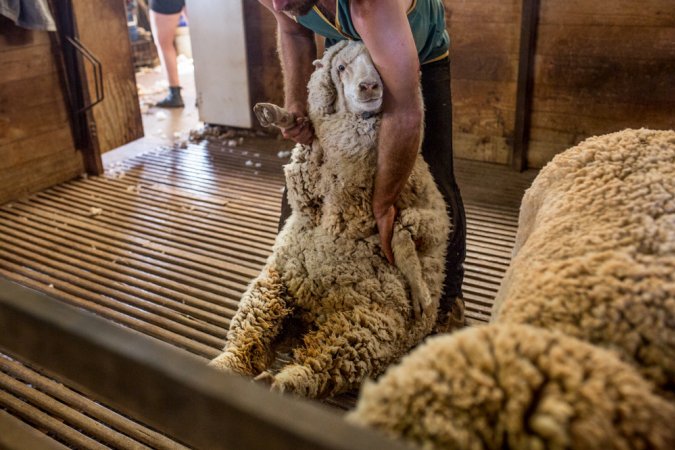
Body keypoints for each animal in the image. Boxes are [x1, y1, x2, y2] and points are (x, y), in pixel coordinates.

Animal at [209, 39, 452, 398]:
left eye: (380, 64)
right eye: (340, 67)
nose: (370, 86)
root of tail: (314, 312)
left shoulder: (425, 209)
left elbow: (403, 231)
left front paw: (420, 290)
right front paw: (275, 115)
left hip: (367, 326)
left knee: (317, 366)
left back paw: (280, 383)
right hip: (270, 289)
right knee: (248, 342)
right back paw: (225, 367)